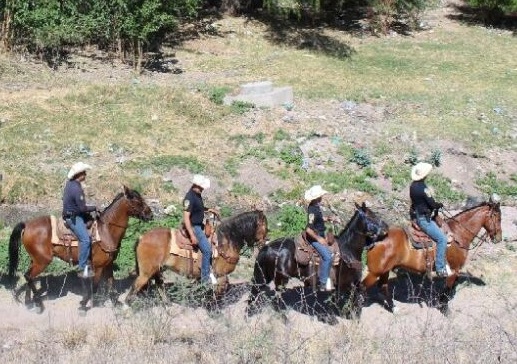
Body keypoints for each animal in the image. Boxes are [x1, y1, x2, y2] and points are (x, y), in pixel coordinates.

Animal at [8, 186, 151, 314]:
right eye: (138, 201)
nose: (150, 214)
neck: (106, 231)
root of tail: (27, 225)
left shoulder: (108, 264)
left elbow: (111, 283)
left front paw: (116, 302)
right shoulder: (98, 266)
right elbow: (94, 287)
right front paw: (83, 305)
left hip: (35, 260)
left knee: (28, 277)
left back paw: (29, 302)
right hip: (42, 261)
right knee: (28, 276)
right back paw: (38, 303)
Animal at [125, 209, 268, 302]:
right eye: (265, 227)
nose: (264, 243)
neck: (226, 241)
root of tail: (142, 237)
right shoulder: (220, 275)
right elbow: (219, 292)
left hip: (157, 270)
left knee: (159, 286)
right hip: (146, 273)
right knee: (134, 288)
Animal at [247, 203, 388, 320]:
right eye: (372, 216)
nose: (386, 227)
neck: (348, 251)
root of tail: (267, 247)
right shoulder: (346, 283)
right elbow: (353, 297)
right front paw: (351, 315)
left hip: (267, 276)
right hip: (280, 279)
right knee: (271, 298)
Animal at [360, 193, 502, 312]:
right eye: (498, 218)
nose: (499, 238)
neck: (458, 235)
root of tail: (376, 238)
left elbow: (449, 288)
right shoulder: (454, 269)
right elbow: (448, 288)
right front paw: (444, 308)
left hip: (385, 270)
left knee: (383, 287)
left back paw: (393, 308)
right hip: (375, 272)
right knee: (362, 287)